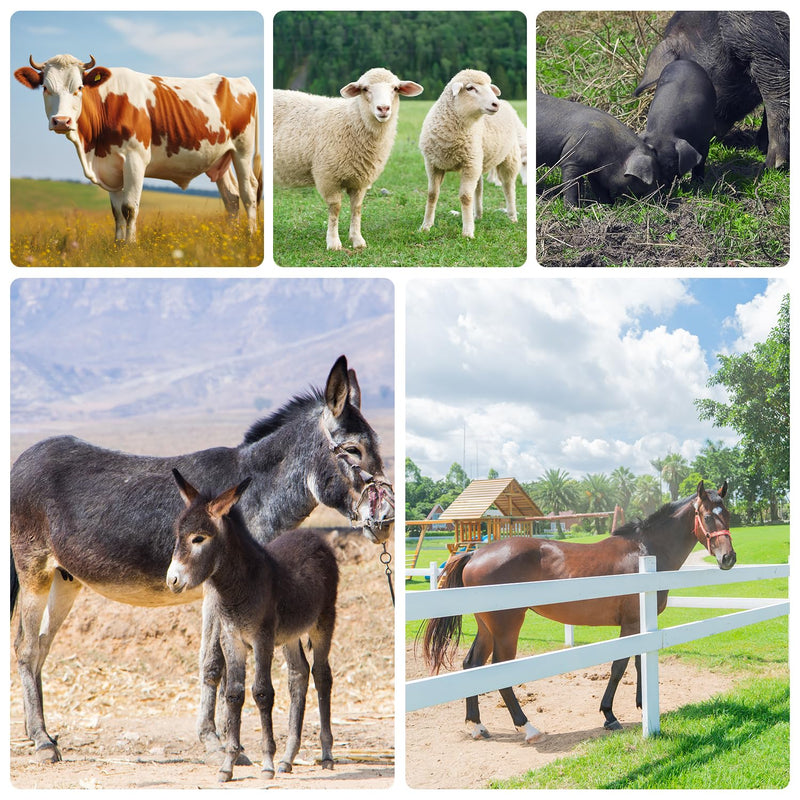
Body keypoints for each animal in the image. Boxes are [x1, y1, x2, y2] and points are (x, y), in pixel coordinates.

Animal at [273, 68, 424, 250]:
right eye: (365, 89)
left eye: (395, 88)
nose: (383, 108)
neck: (351, 120)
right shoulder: (328, 176)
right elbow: (335, 209)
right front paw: (333, 243)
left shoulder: (361, 180)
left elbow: (356, 208)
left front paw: (357, 240)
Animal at [419, 69, 521, 239]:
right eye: (470, 88)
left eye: (489, 87)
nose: (496, 104)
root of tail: (507, 103)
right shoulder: (433, 164)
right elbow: (432, 194)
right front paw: (426, 226)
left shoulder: (469, 164)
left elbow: (465, 197)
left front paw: (467, 232)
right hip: (478, 160)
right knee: (478, 189)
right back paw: (477, 215)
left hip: (508, 158)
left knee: (508, 187)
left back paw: (512, 216)